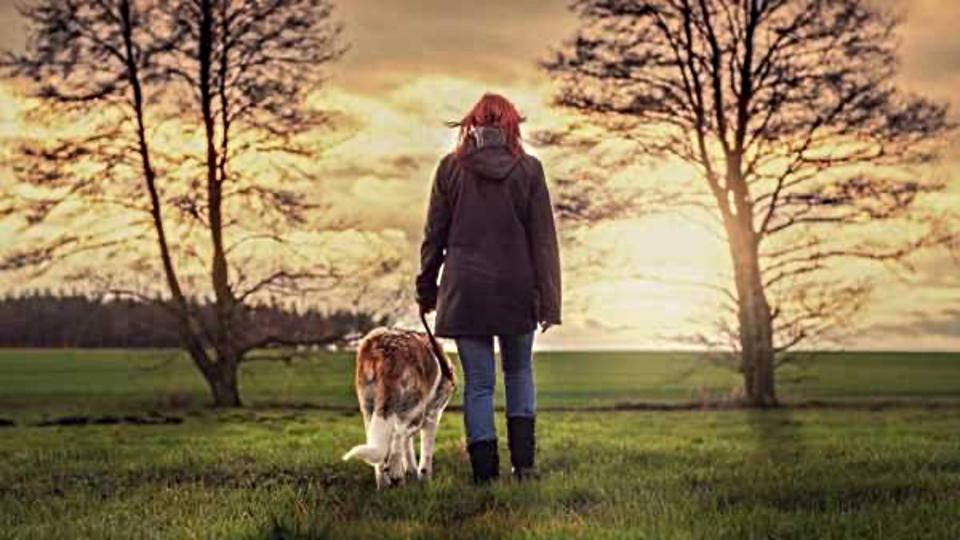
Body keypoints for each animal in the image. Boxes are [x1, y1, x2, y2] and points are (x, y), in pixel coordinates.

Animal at [344, 324, 456, 490]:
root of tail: (384, 350)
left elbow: (407, 447)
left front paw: (410, 472)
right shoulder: (433, 415)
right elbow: (426, 452)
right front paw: (425, 479)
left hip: (368, 408)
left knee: (381, 447)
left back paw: (385, 483)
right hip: (415, 406)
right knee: (398, 433)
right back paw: (396, 474)